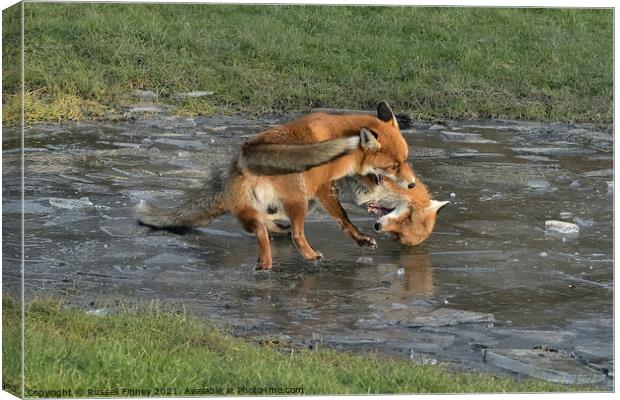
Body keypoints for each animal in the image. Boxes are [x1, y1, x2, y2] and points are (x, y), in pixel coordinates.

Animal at [136, 101, 416, 270]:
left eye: (405, 160)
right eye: (394, 166)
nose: (412, 184)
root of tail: (242, 157)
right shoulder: (322, 187)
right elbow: (344, 218)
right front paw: (359, 236)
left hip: (270, 206)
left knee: (261, 226)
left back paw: (267, 255)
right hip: (302, 199)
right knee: (295, 233)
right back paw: (305, 255)